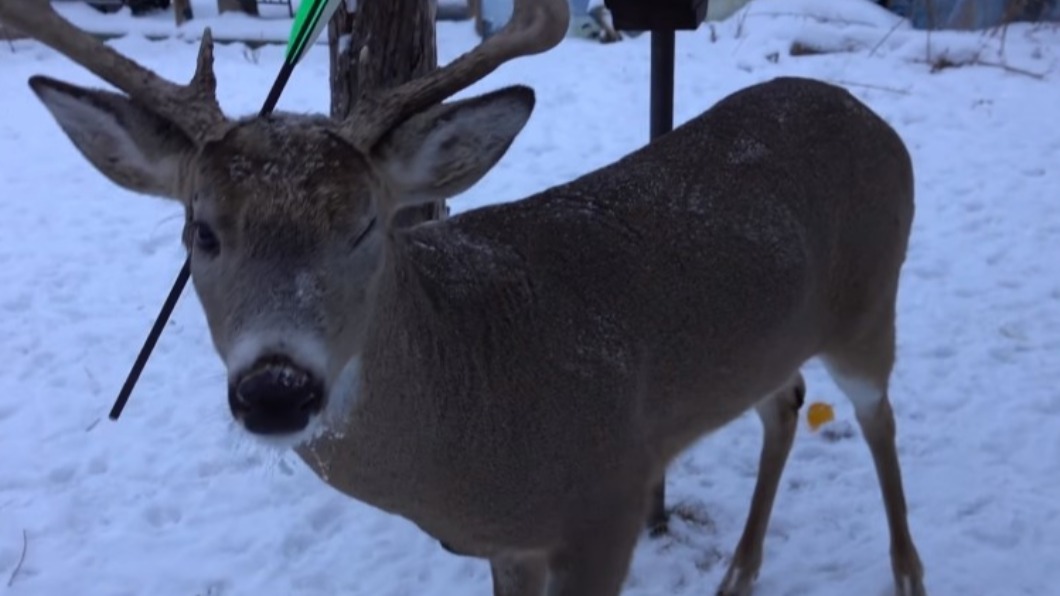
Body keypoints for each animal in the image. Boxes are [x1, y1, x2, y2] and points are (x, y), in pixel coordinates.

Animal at [1, 0, 926, 594]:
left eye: (366, 226)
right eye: (201, 230)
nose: (277, 388)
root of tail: (869, 116)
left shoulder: (612, 494)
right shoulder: (509, 544)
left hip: (871, 299)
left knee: (878, 415)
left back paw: (907, 573)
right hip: (774, 338)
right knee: (785, 402)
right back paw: (739, 571)